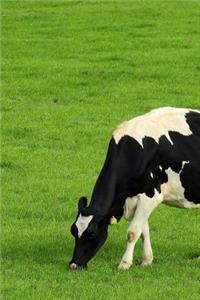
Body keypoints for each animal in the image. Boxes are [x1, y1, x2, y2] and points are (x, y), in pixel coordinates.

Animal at [69, 107, 200, 270]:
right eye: (73, 230)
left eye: (91, 233)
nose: (73, 264)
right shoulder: (135, 197)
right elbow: (144, 231)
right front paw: (147, 260)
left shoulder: (151, 195)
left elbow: (133, 232)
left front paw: (124, 264)